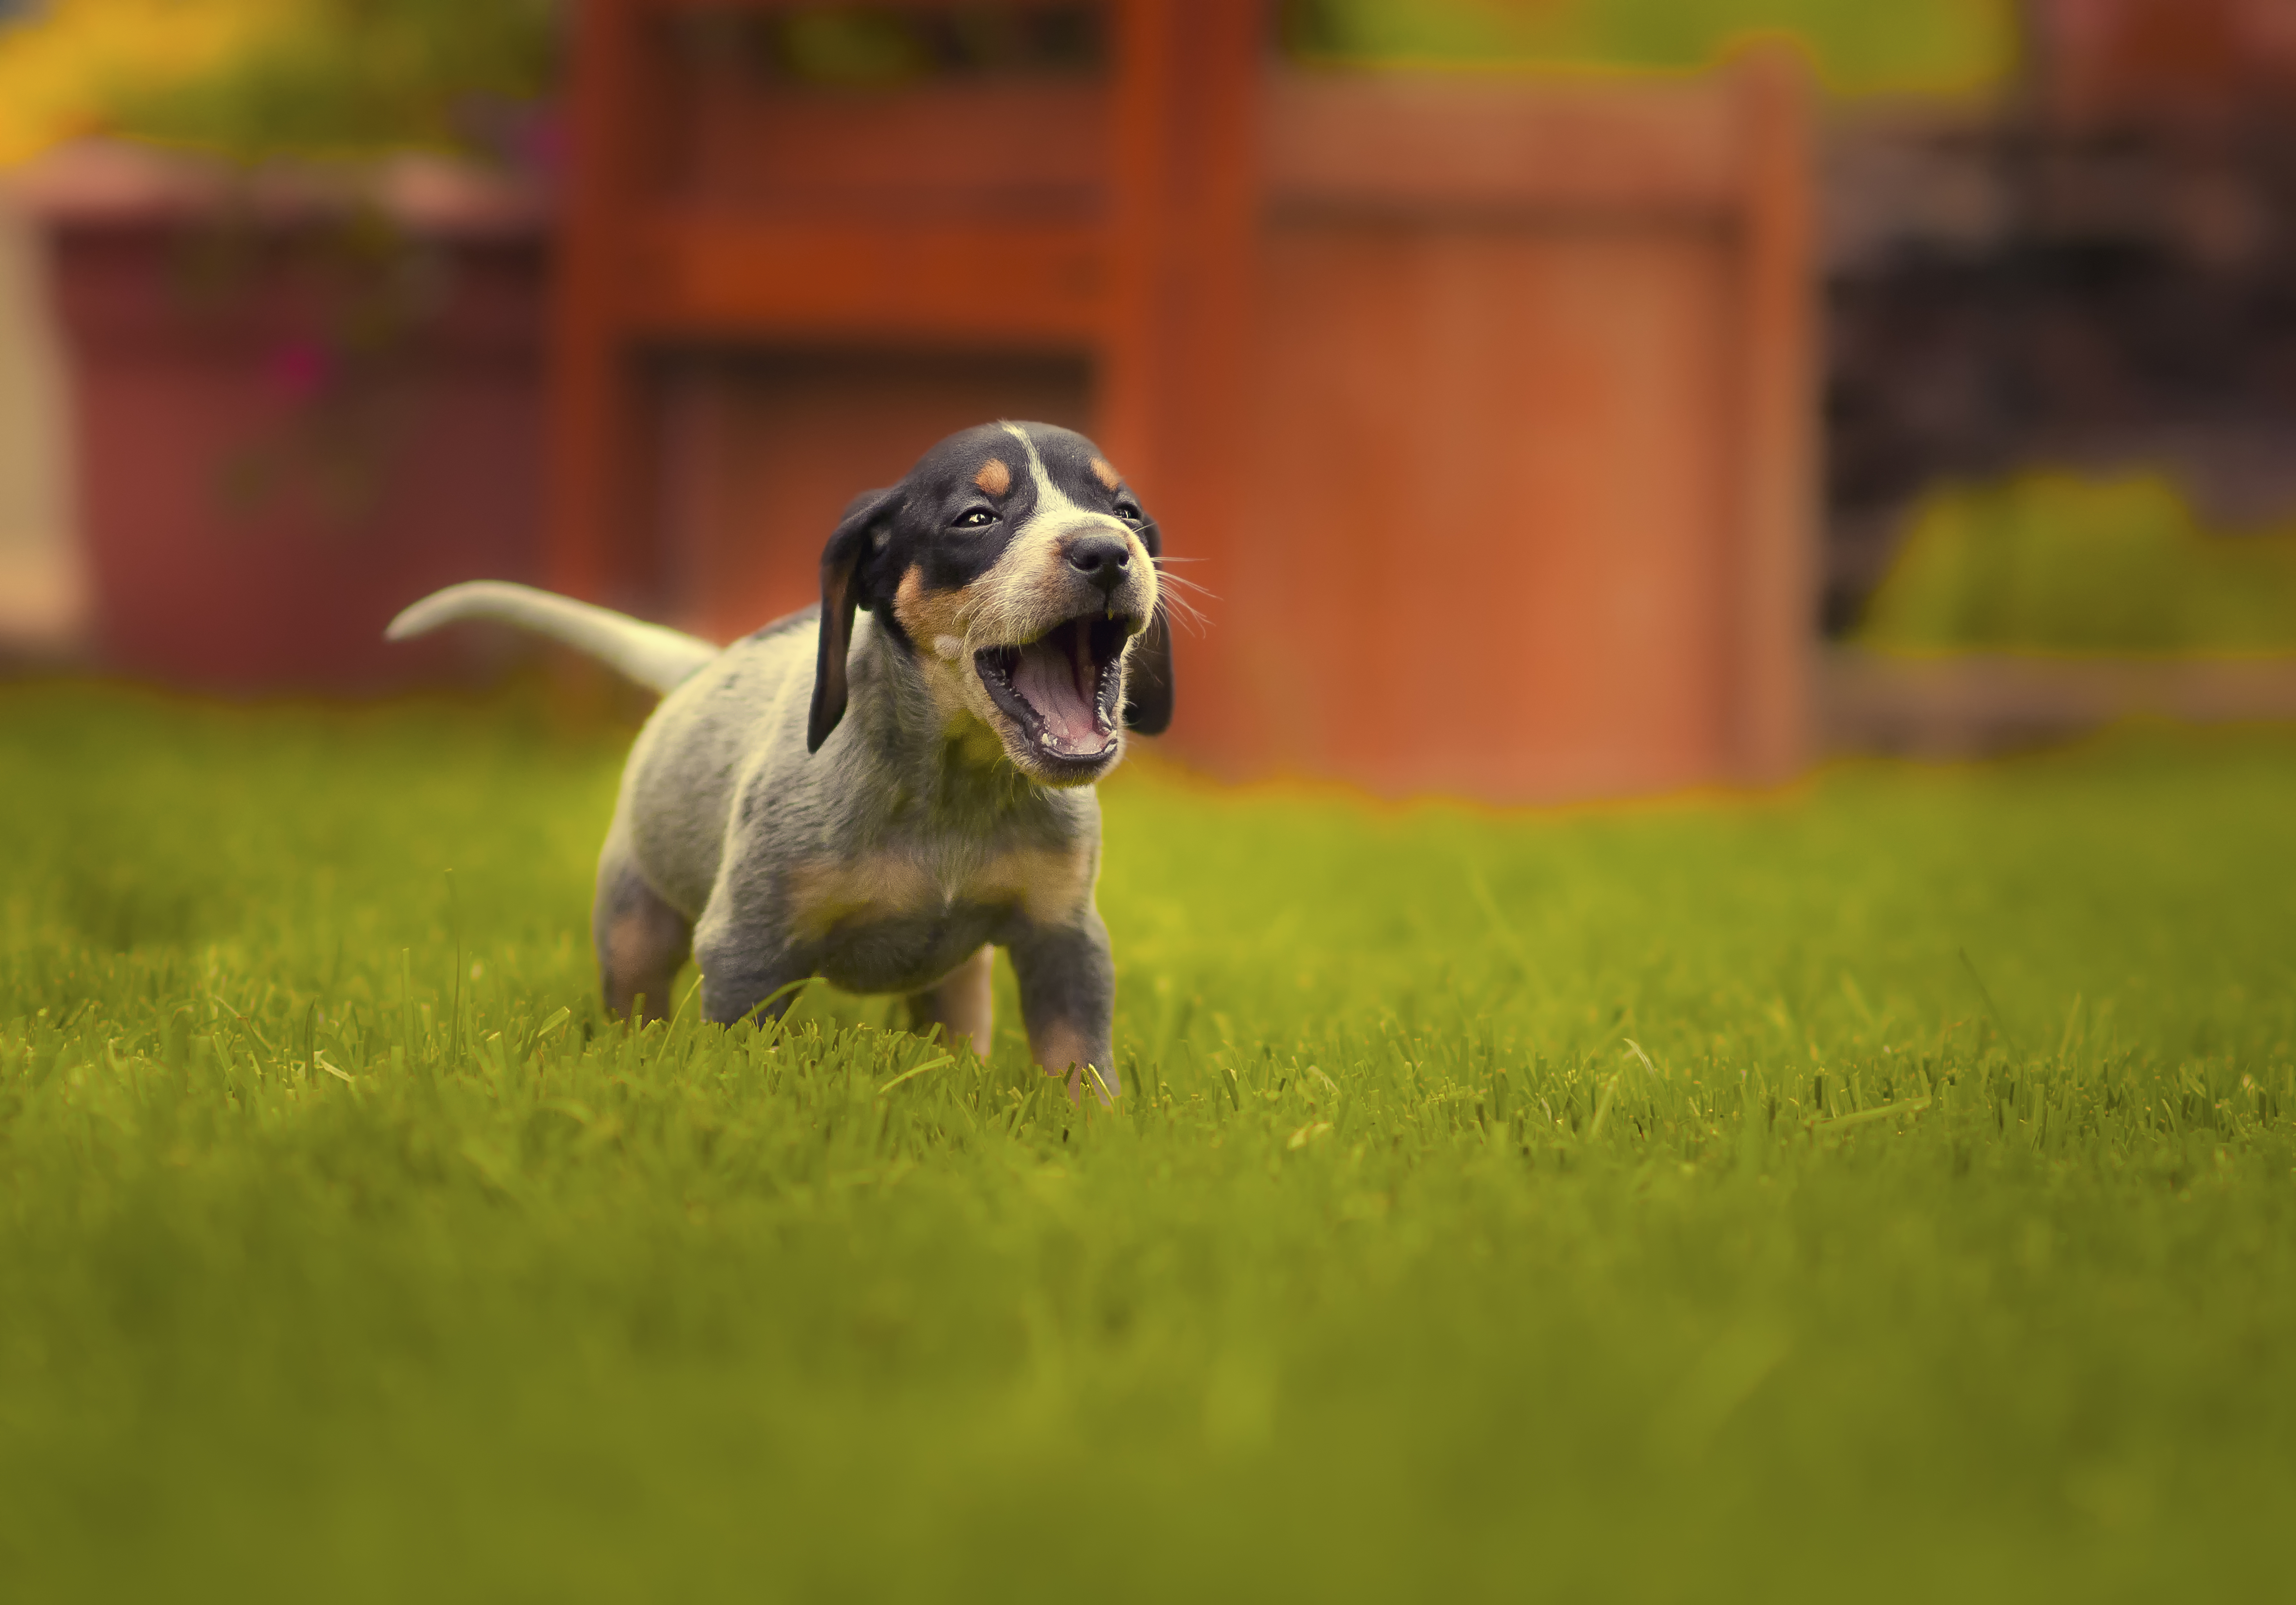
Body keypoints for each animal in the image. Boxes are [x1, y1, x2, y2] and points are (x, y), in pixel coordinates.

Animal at [388, 425, 1175, 1107]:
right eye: (977, 517)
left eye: (1127, 513)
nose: (1108, 552)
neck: (954, 791)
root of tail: (699, 668)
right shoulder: (748, 951)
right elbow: (738, 1065)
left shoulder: (1065, 939)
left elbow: (1079, 1065)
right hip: (635, 927)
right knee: (634, 1004)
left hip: (957, 987)